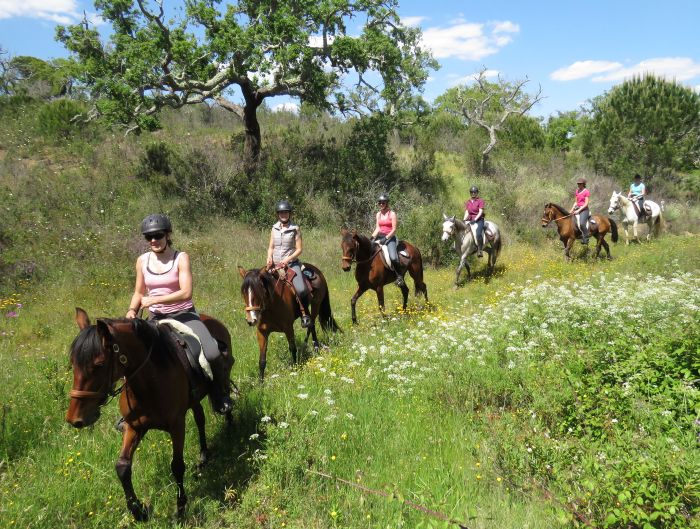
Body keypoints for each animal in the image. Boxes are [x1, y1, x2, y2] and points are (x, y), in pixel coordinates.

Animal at [64, 306, 232, 520]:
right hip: (193, 400)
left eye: (99, 364)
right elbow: (122, 467)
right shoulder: (134, 426)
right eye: (72, 362)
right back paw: (203, 457)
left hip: (222, 379)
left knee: (225, 398)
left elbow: (177, 466)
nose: (75, 419)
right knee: (200, 418)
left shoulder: (177, 426)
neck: (150, 383)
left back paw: (231, 426)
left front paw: (180, 509)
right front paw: (138, 511)